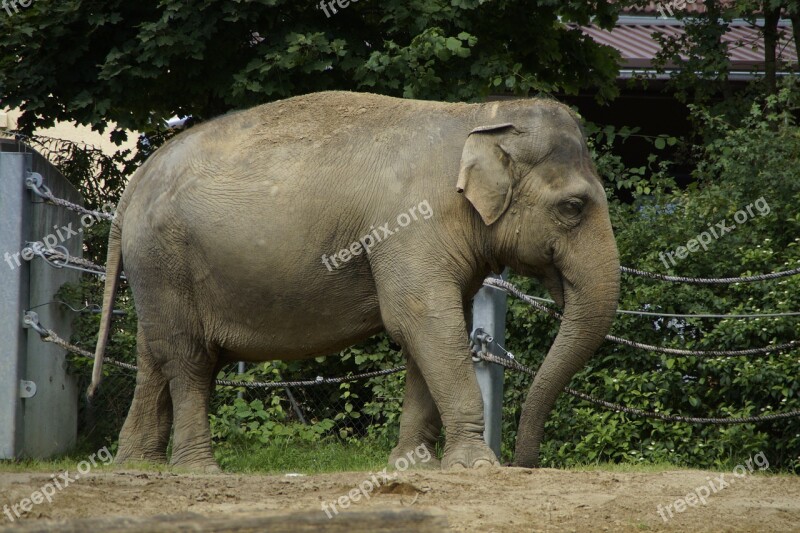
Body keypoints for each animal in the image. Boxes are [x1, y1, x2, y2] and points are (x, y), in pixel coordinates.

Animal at [90, 89, 620, 472]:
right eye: (573, 207)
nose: (525, 464)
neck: (482, 115)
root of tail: (135, 183)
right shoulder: (410, 226)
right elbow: (425, 320)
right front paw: (478, 467)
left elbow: (430, 332)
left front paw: (412, 467)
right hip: (166, 259)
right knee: (189, 360)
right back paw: (198, 470)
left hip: (155, 270)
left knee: (152, 356)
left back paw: (135, 466)